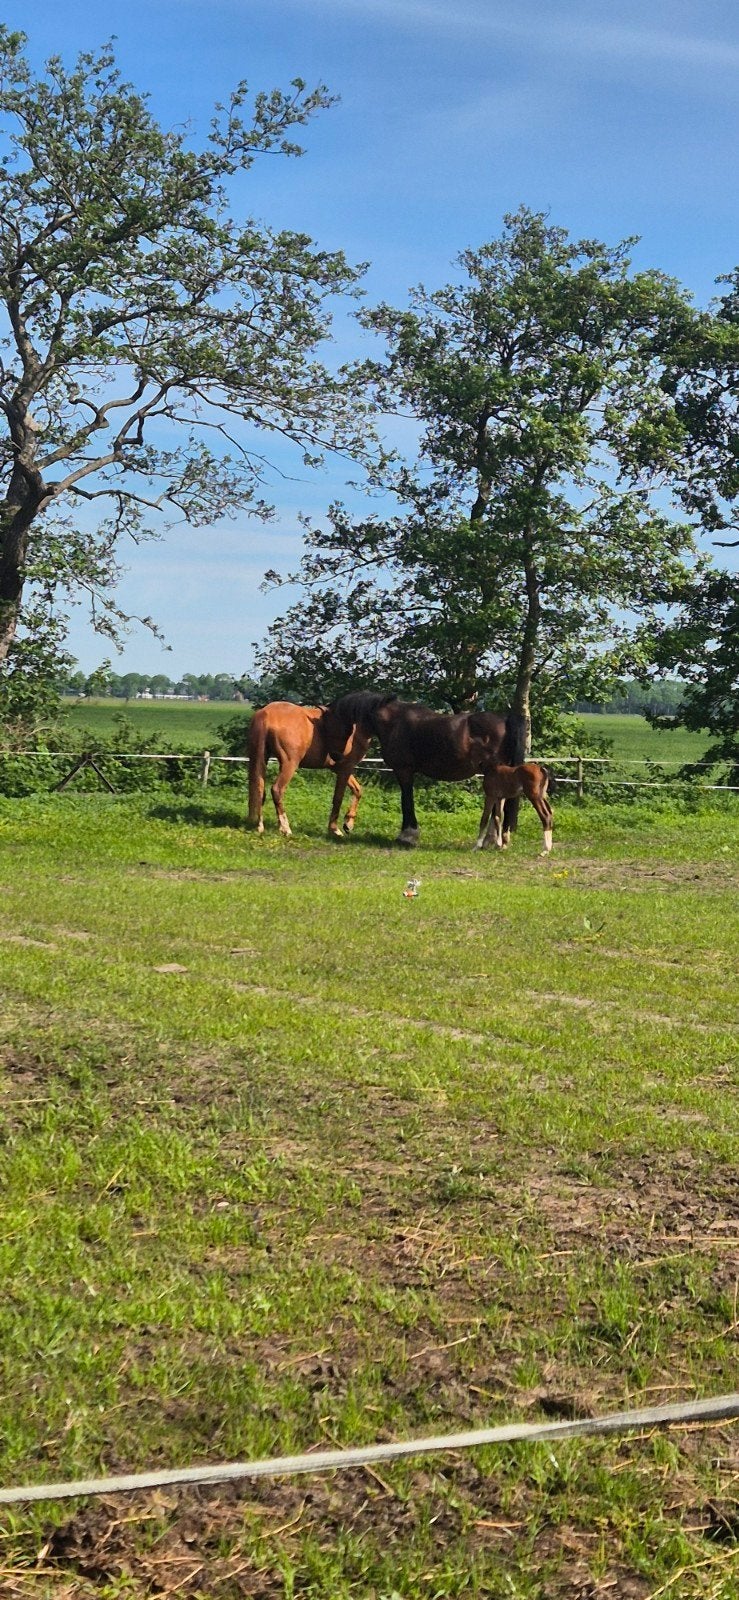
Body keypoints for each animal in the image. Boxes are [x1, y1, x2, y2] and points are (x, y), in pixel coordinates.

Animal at [247, 702, 371, 839]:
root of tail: (267, 713)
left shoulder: (339, 769)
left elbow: (357, 790)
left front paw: (348, 824)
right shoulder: (345, 767)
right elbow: (339, 797)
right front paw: (335, 829)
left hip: (261, 758)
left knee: (259, 789)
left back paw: (261, 826)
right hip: (289, 764)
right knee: (277, 790)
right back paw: (286, 828)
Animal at [330, 692, 527, 846]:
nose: (335, 756)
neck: (394, 722)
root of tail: (505, 719)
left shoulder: (404, 771)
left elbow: (406, 800)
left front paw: (407, 836)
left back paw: (491, 840)